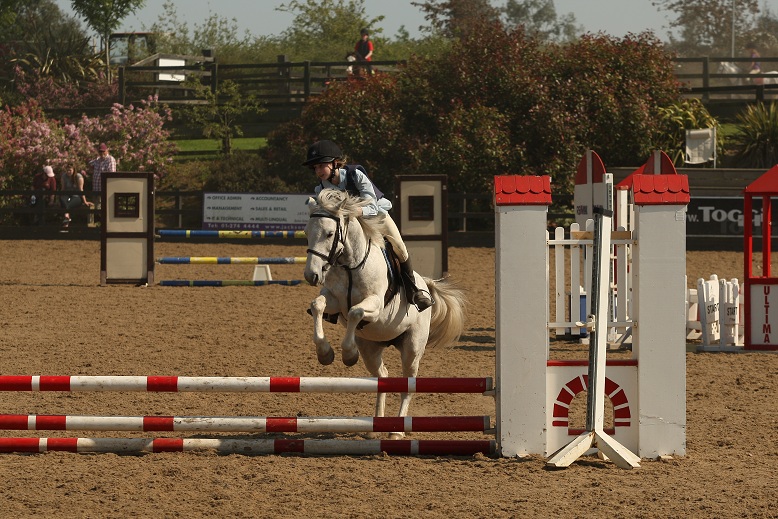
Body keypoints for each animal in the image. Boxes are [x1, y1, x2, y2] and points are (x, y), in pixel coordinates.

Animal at [303, 188, 467, 439]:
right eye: (306, 232)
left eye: (330, 233)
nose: (311, 274)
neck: (350, 265)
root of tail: (426, 284)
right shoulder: (333, 301)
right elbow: (318, 305)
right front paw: (325, 353)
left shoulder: (375, 305)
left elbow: (355, 312)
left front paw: (348, 353)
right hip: (371, 349)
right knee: (382, 376)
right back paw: (376, 427)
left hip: (412, 348)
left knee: (407, 385)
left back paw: (397, 431)